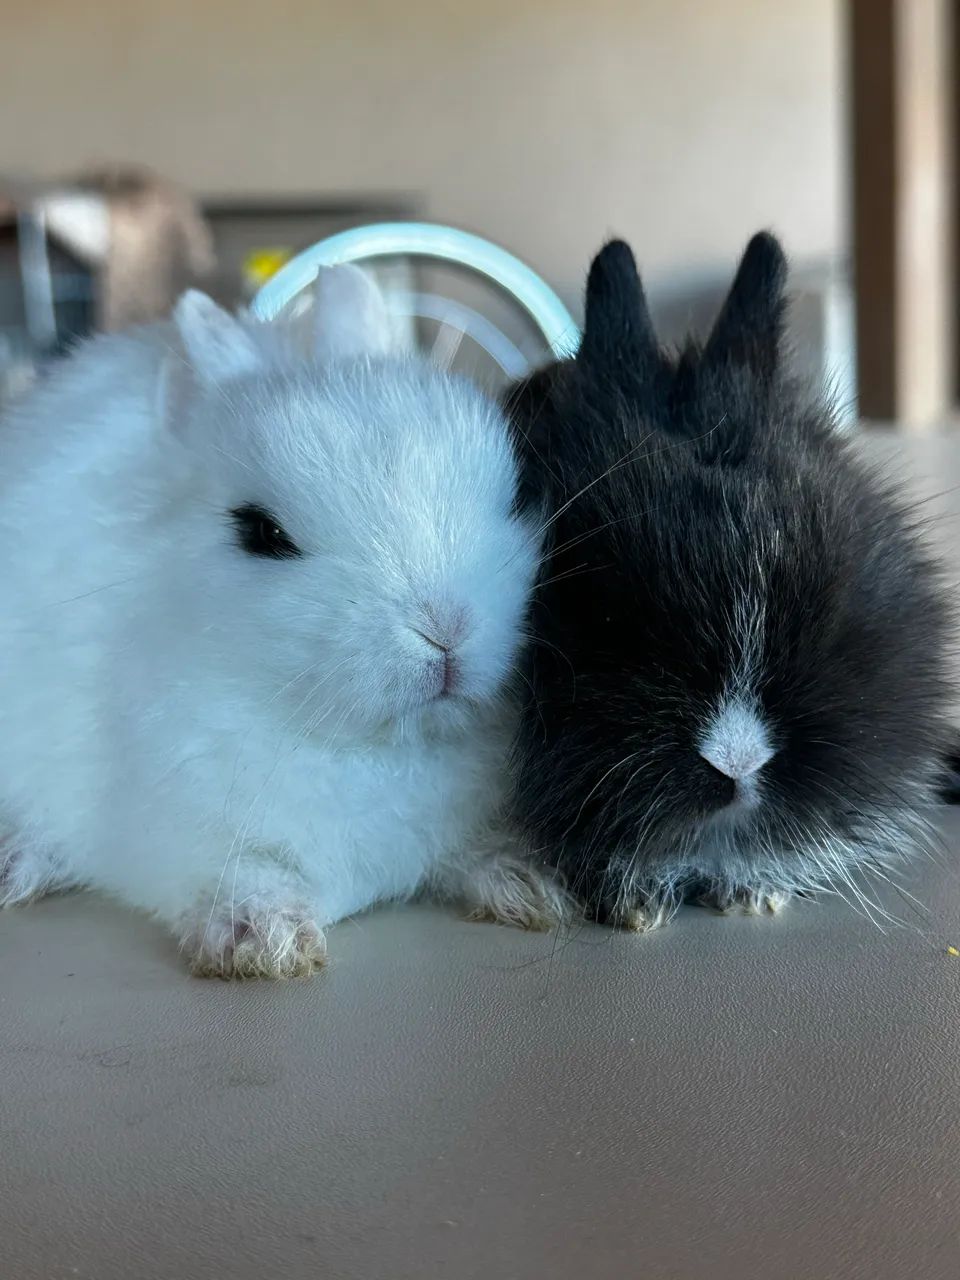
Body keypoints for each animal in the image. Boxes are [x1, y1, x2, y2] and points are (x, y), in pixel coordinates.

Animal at [0, 264, 567, 976]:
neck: (380, 748)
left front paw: (529, 881)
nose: (447, 630)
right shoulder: (174, 837)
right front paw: (264, 939)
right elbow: (239, 873)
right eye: (261, 533)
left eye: (514, 494)